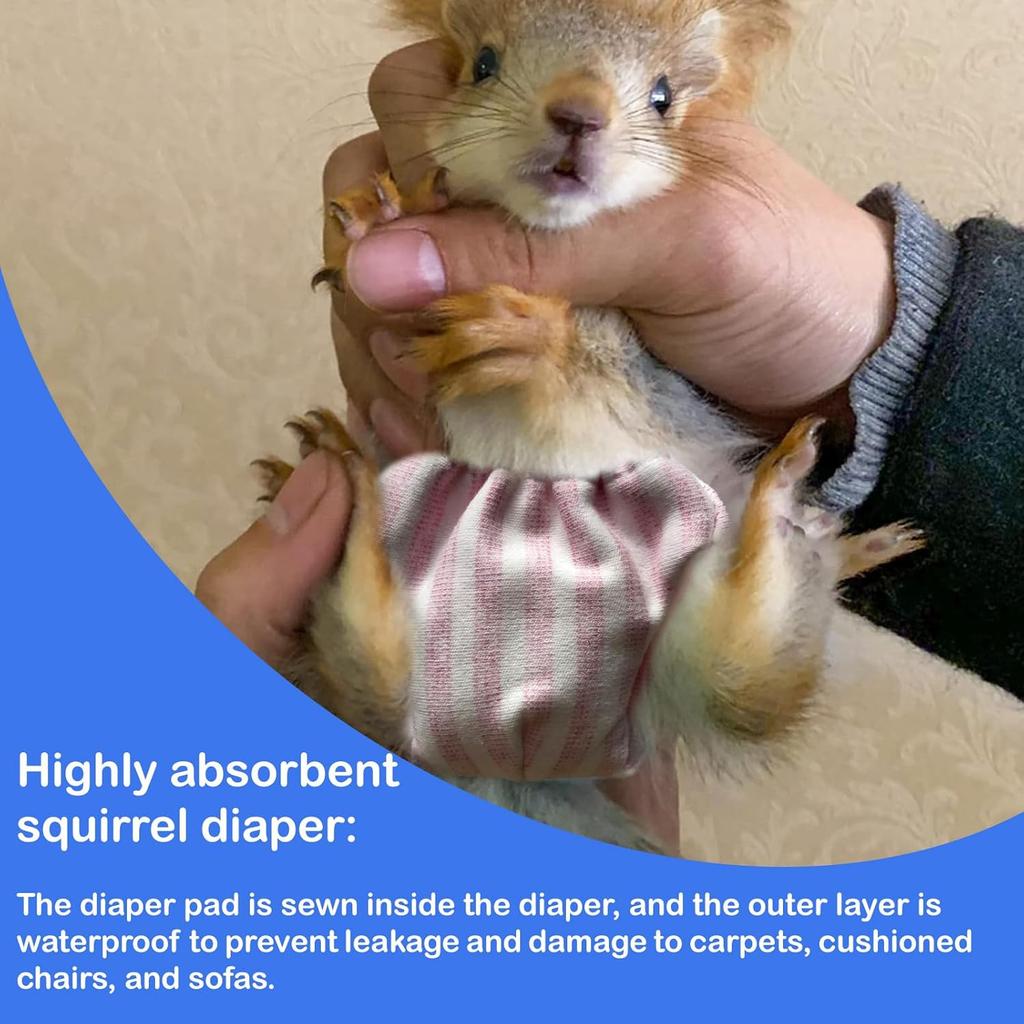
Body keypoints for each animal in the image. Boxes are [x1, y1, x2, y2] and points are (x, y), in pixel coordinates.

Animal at [255, 0, 923, 853]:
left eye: (664, 99)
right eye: (483, 64)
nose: (580, 113)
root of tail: (513, 738)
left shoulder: (659, 379)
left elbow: (582, 364)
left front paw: (522, 335)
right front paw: (385, 217)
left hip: (689, 654)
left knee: (750, 676)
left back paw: (804, 518)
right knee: (369, 669)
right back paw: (342, 482)